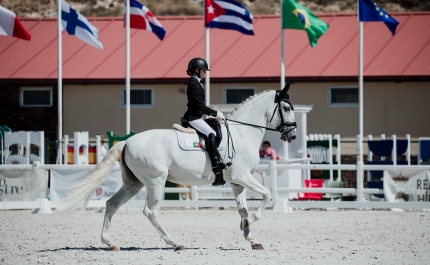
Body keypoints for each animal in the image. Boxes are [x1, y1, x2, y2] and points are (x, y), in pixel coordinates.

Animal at [58, 85, 298, 250]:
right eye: (286, 107)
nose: (293, 135)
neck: (241, 133)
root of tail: (127, 141)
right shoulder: (243, 176)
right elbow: (267, 195)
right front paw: (250, 223)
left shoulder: (236, 182)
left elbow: (243, 209)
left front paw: (251, 236)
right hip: (155, 180)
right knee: (150, 211)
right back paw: (174, 243)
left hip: (134, 183)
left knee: (111, 204)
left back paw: (110, 243)